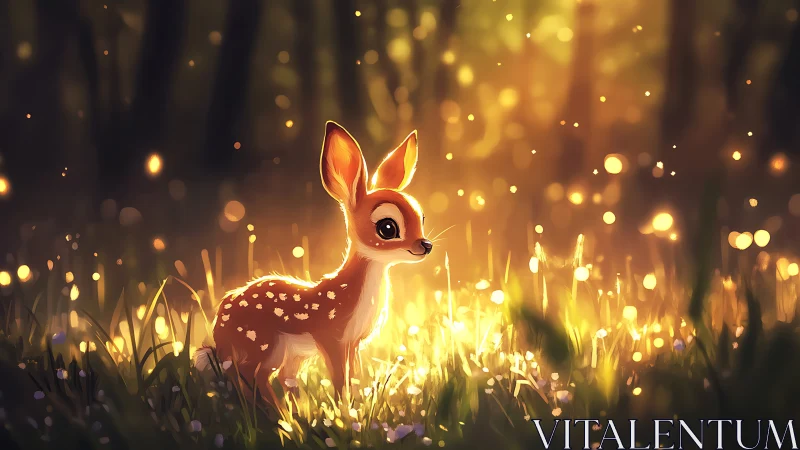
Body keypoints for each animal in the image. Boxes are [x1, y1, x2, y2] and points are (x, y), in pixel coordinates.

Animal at [195, 121, 432, 398]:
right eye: (387, 227)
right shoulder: (331, 337)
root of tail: (218, 328)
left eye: (422, 218)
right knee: (249, 376)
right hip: (261, 343)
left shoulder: (353, 343)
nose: (425, 245)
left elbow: (354, 377)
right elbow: (340, 380)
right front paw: (344, 407)